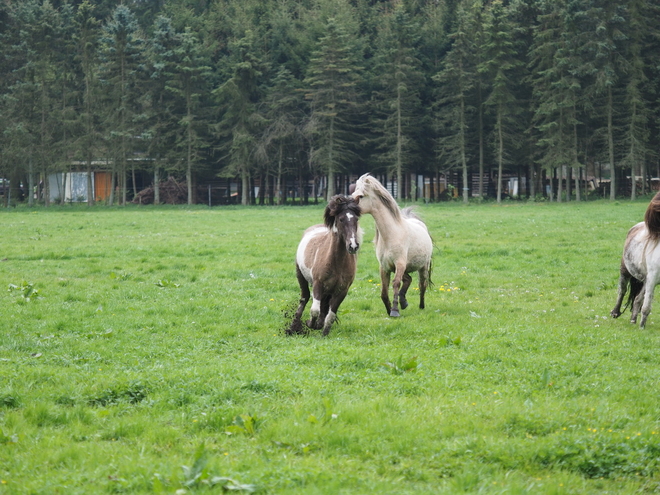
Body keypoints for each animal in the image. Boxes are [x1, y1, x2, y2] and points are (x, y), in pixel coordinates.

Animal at [288, 194, 364, 338]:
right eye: (341, 219)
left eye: (356, 219)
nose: (353, 246)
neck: (337, 263)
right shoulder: (318, 284)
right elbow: (314, 310)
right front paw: (310, 324)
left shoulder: (342, 290)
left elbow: (331, 315)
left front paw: (324, 333)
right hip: (301, 276)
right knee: (304, 298)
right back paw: (294, 325)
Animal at [350, 174, 434, 318]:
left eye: (360, 196)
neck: (391, 234)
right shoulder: (385, 267)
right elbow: (384, 291)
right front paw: (390, 309)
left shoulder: (399, 264)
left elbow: (395, 284)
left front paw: (394, 310)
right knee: (408, 279)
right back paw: (404, 302)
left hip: (422, 266)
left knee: (422, 284)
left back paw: (421, 306)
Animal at [612, 191, 660, 330]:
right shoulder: (653, 278)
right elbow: (647, 306)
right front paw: (642, 326)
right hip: (626, 270)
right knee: (622, 290)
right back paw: (616, 312)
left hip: (646, 280)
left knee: (638, 298)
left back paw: (633, 319)